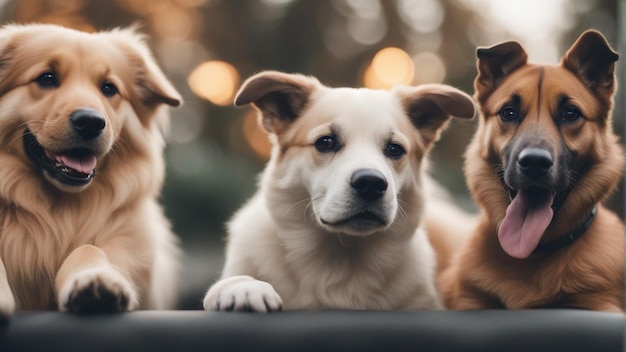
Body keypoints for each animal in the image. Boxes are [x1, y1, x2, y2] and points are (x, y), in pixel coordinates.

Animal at [0, 23, 183, 318]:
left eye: (109, 88)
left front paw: (95, 279)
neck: (58, 211)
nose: (90, 122)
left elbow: (89, 247)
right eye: (46, 78)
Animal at [202, 71, 470, 310]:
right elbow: (234, 280)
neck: (340, 257)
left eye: (395, 149)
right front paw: (244, 288)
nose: (371, 183)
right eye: (326, 142)